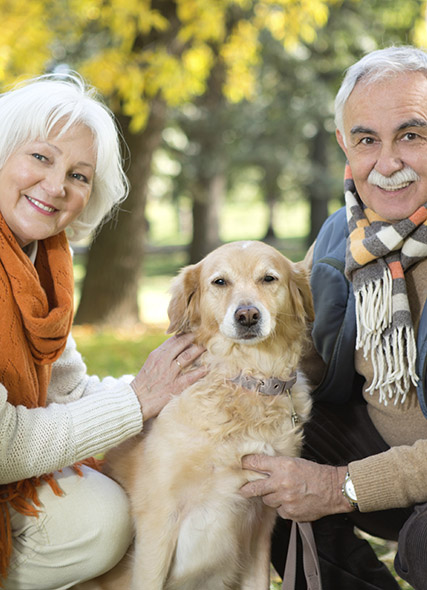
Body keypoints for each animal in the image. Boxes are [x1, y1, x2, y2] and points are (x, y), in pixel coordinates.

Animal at [77, 242, 314, 590]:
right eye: (220, 282)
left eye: (268, 278)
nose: (247, 315)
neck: (245, 380)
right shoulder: (158, 520)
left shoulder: (261, 521)